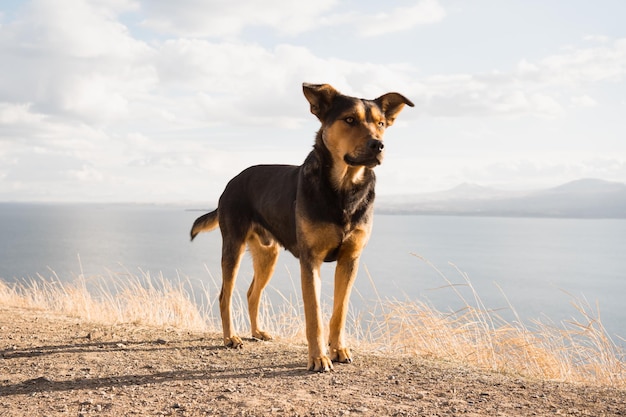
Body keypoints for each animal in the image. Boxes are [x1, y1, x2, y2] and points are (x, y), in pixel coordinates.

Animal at [191, 83, 414, 370]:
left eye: (381, 123)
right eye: (349, 120)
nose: (379, 145)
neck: (343, 190)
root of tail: (232, 181)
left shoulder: (350, 259)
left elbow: (339, 311)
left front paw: (338, 349)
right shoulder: (311, 260)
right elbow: (314, 315)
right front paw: (318, 357)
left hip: (268, 254)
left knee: (252, 293)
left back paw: (256, 332)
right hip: (233, 247)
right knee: (224, 295)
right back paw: (231, 337)